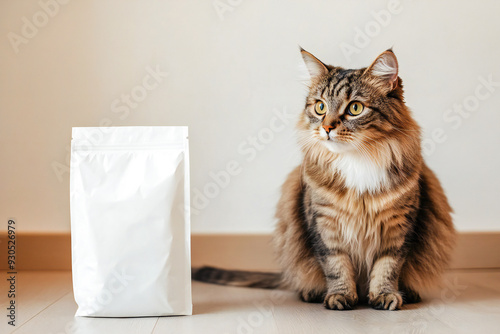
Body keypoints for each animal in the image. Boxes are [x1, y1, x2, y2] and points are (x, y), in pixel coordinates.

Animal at [192, 47, 458, 310]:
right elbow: (336, 265)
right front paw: (340, 296)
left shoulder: (398, 226)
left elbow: (387, 267)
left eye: (355, 108)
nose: (327, 128)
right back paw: (312, 293)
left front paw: (384, 295)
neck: (357, 160)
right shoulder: (325, 224)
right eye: (320, 107)